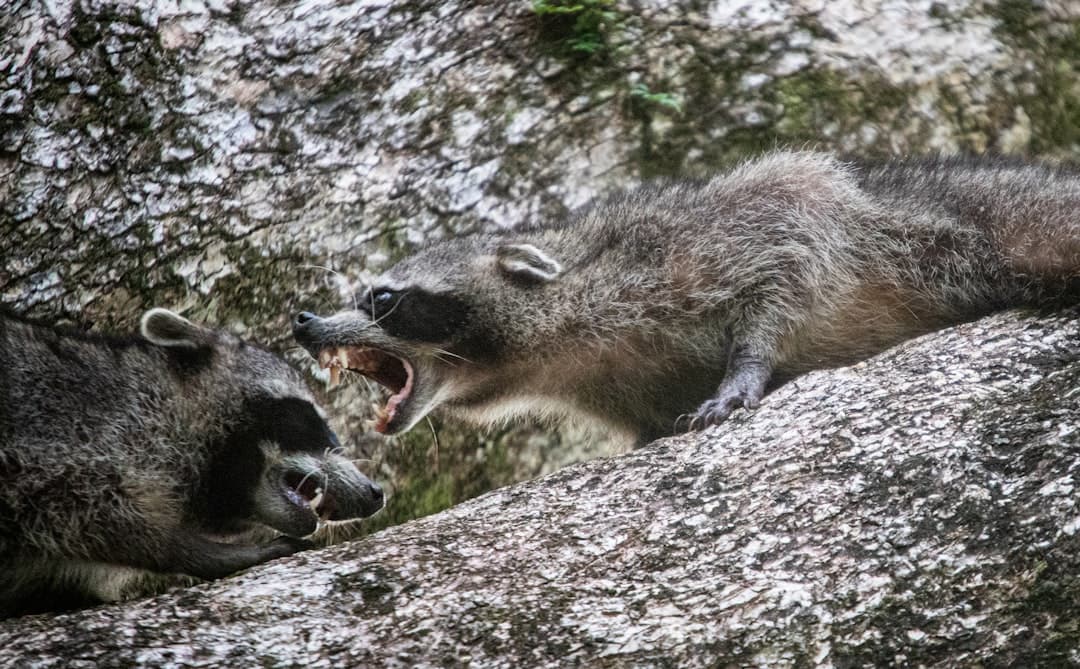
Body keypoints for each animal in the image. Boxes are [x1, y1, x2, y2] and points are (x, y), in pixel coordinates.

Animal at [292, 151, 1080, 446]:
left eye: (383, 298)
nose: (303, 321)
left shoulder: (734, 232)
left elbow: (784, 272)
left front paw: (746, 367)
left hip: (959, 231)